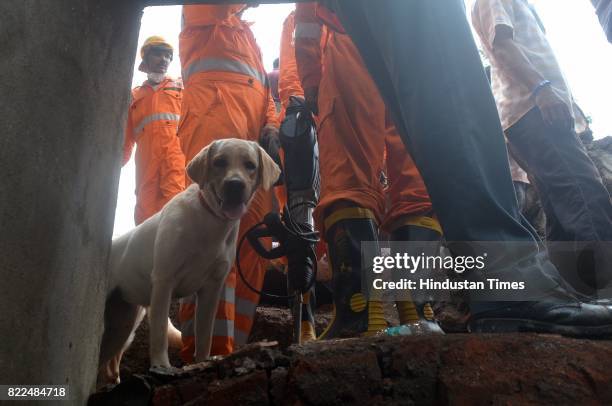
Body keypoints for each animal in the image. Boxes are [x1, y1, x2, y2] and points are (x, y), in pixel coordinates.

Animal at [99, 138, 280, 382]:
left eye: (250, 165)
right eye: (219, 162)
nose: (234, 185)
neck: (210, 222)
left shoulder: (212, 288)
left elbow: (205, 334)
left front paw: (204, 362)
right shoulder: (164, 281)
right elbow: (159, 335)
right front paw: (161, 366)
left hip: (123, 324)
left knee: (108, 363)